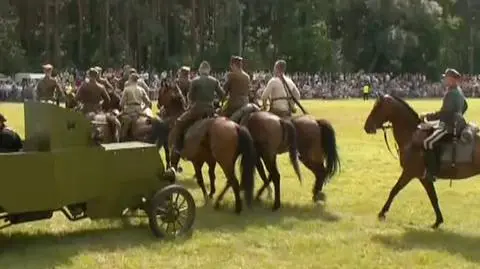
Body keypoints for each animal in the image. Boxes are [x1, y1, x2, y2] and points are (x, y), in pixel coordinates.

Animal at [151, 78, 256, 213]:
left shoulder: (191, 160)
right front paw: (211, 193)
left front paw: (206, 196)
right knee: (230, 181)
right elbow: (211, 176)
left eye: (162, 91)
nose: (158, 104)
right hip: (228, 162)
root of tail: (236, 127)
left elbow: (197, 178)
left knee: (233, 181)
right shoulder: (210, 160)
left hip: (224, 162)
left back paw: (236, 206)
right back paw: (219, 201)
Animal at [364, 93, 480, 227]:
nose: (366, 126)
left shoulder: (410, 173)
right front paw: (438, 220)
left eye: (377, 108)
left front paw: (382, 213)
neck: (411, 136)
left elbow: (395, 190)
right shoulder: (423, 178)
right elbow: (433, 197)